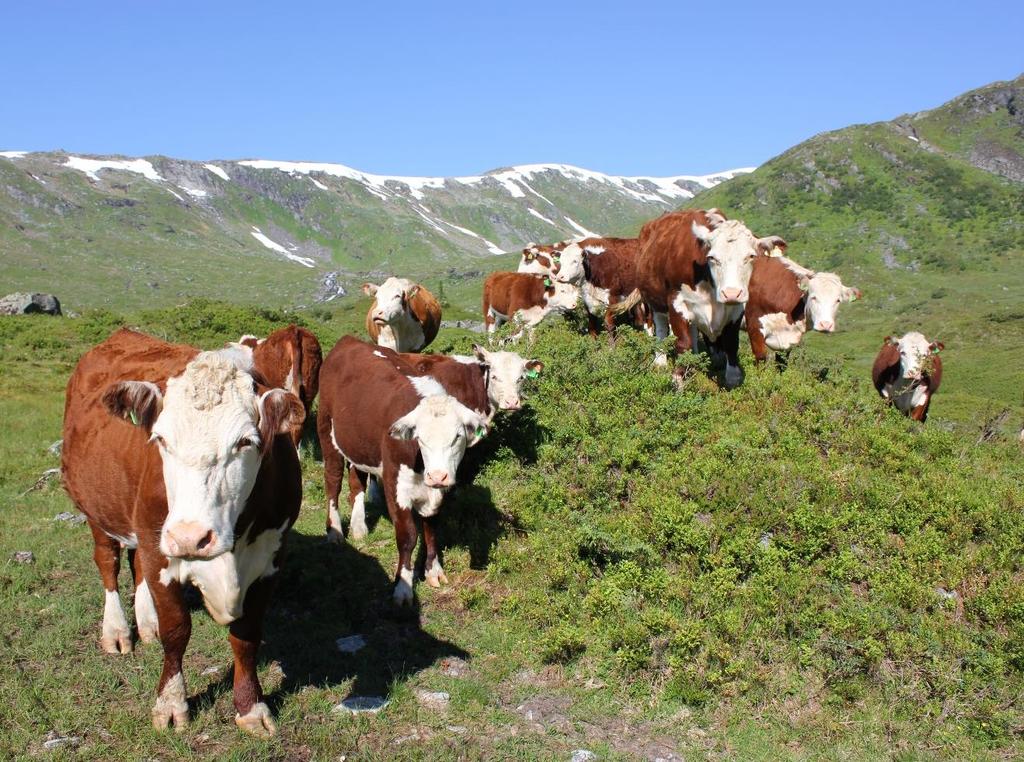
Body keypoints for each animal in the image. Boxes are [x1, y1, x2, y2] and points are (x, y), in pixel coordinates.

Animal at [61, 329, 301, 737]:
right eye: (160, 439)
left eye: (245, 442)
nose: (191, 537)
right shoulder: (161, 549)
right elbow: (177, 630)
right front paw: (172, 704)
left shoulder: (272, 556)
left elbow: (247, 634)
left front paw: (250, 706)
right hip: (99, 509)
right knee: (108, 562)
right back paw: (117, 631)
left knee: (135, 565)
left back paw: (146, 623)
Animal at [315, 335, 487, 602]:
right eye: (420, 438)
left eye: (457, 437)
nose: (438, 475)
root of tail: (348, 341)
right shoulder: (395, 484)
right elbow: (407, 536)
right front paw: (403, 586)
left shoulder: (437, 491)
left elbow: (431, 527)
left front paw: (433, 571)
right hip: (326, 431)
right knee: (333, 480)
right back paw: (334, 532)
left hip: (358, 444)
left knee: (357, 483)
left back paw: (359, 527)